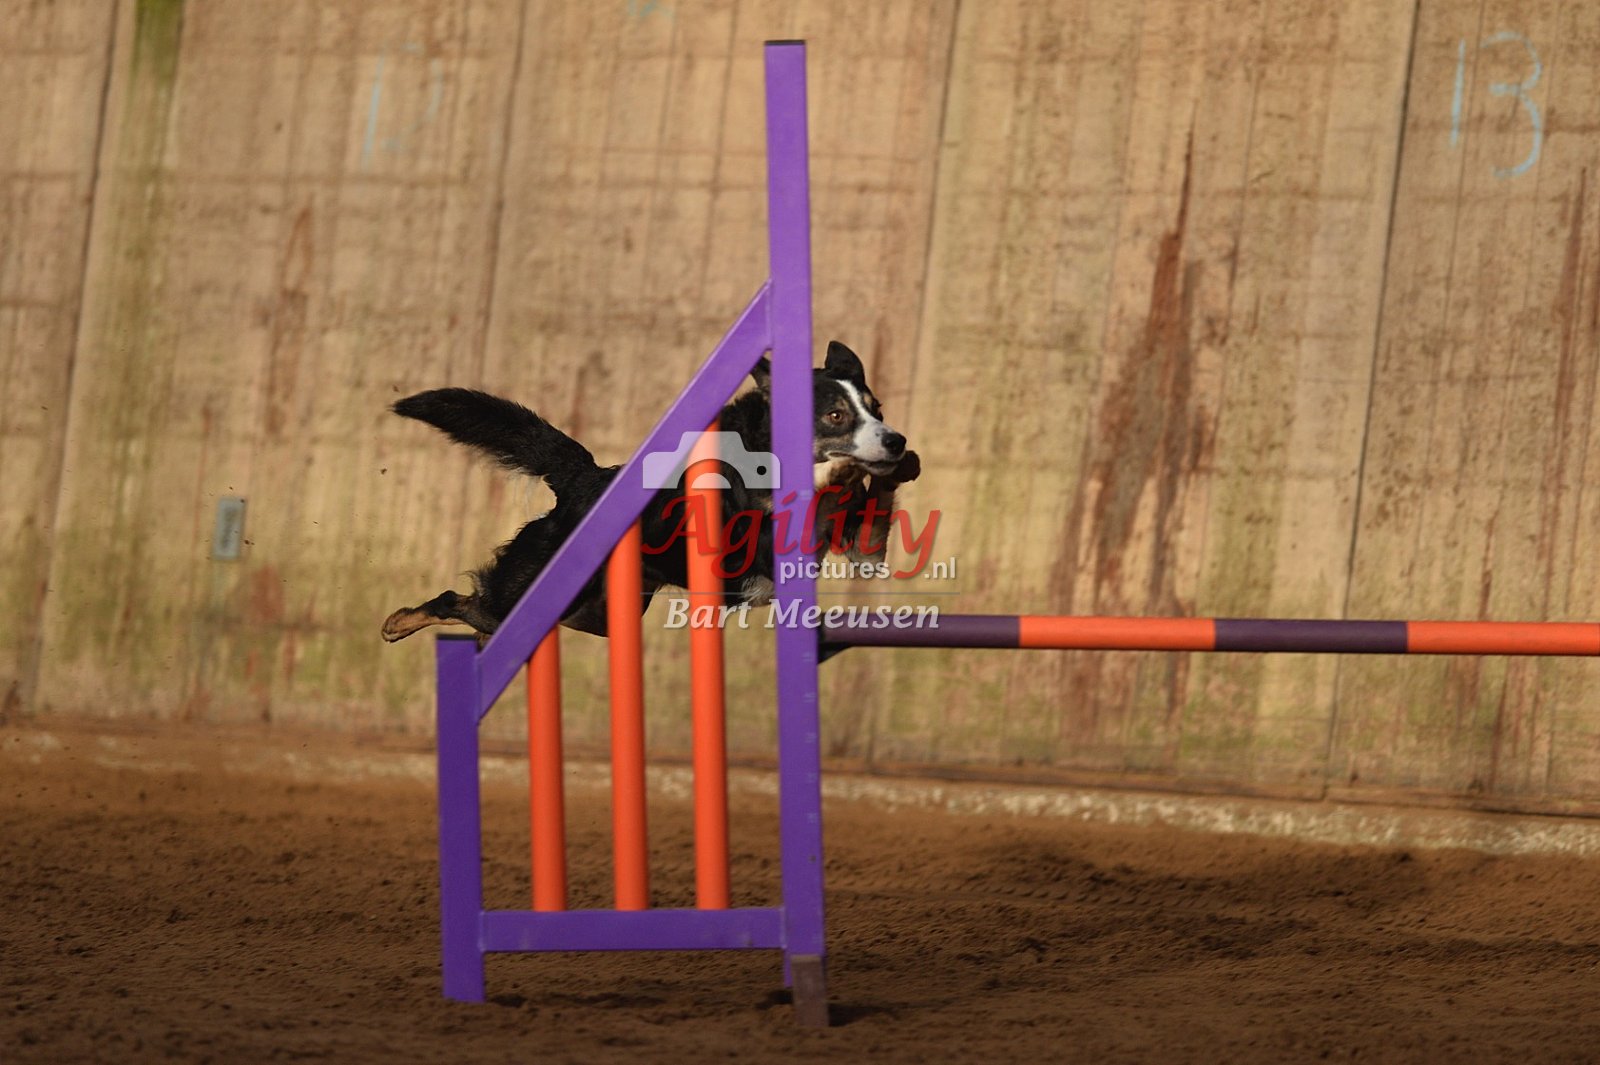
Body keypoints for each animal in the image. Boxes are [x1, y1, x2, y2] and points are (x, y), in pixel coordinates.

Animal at [381, 341, 920, 644]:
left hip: (588, 614)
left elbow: (868, 527)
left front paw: (894, 469)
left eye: (876, 407)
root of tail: (584, 479)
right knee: (455, 600)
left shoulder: (857, 549)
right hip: (530, 591)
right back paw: (398, 622)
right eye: (835, 415)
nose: (896, 439)